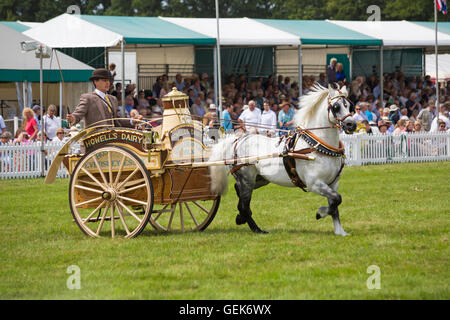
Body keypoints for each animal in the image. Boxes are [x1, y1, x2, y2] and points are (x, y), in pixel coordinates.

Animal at [209, 85, 356, 235]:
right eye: (336, 107)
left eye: (350, 106)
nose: (351, 125)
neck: (316, 145)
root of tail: (238, 140)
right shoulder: (314, 183)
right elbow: (337, 199)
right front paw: (320, 213)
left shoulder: (333, 184)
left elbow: (335, 204)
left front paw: (340, 232)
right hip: (247, 179)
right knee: (244, 203)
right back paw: (253, 226)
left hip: (260, 179)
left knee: (239, 192)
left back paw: (245, 219)